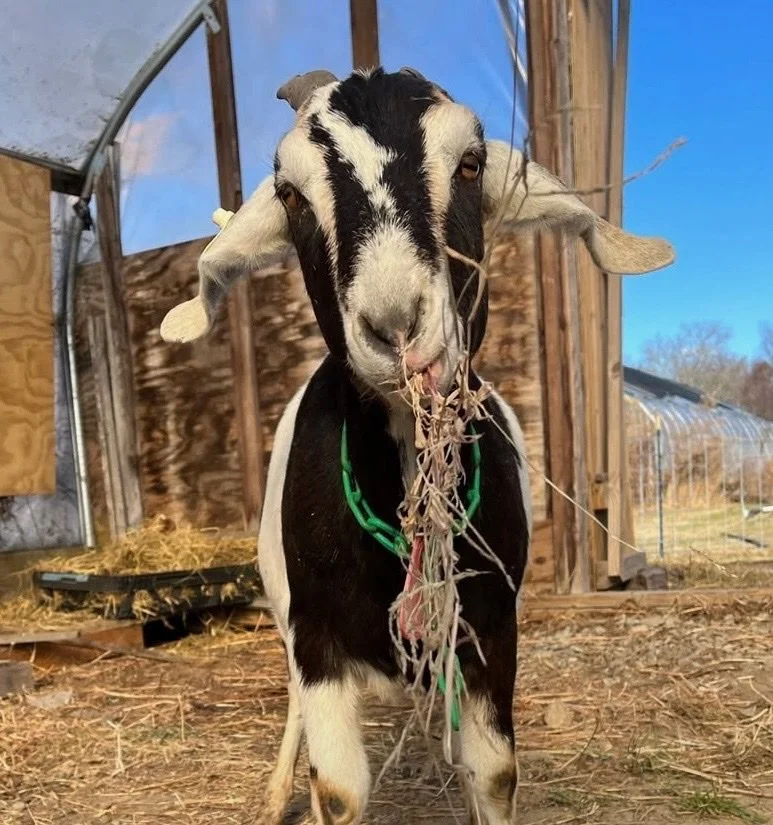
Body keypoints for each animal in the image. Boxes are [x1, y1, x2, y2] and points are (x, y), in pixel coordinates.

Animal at [161, 67, 674, 825]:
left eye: (470, 163)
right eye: (289, 192)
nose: (397, 325)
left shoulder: (488, 627)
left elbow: (493, 774)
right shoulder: (316, 638)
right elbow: (338, 788)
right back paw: (278, 792)